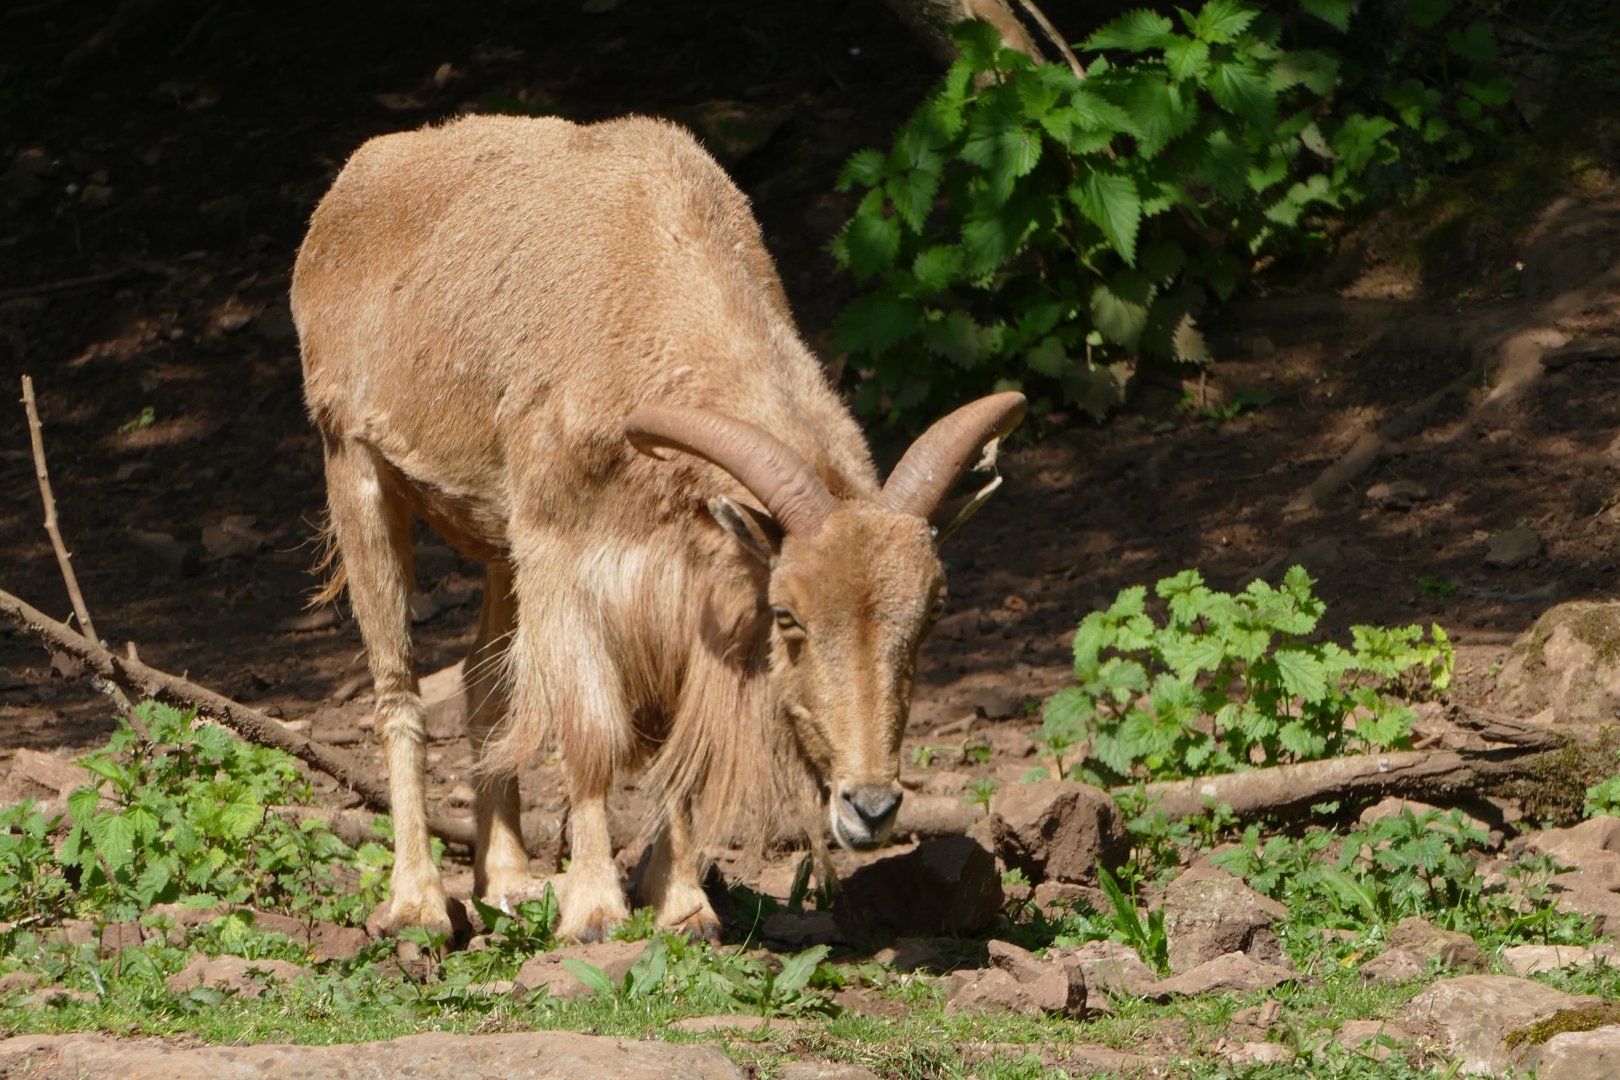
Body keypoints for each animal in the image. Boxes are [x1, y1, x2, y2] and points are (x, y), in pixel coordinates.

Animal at [291, 113, 1025, 942]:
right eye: (789, 616)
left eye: (929, 615)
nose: (870, 807)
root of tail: (354, 182)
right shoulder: (563, 555)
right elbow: (590, 732)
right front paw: (594, 910)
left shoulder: (680, 580)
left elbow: (678, 744)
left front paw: (684, 907)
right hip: (358, 467)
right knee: (399, 690)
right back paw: (418, 901)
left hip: (499, 543)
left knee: (485, 681)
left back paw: (506, 879)